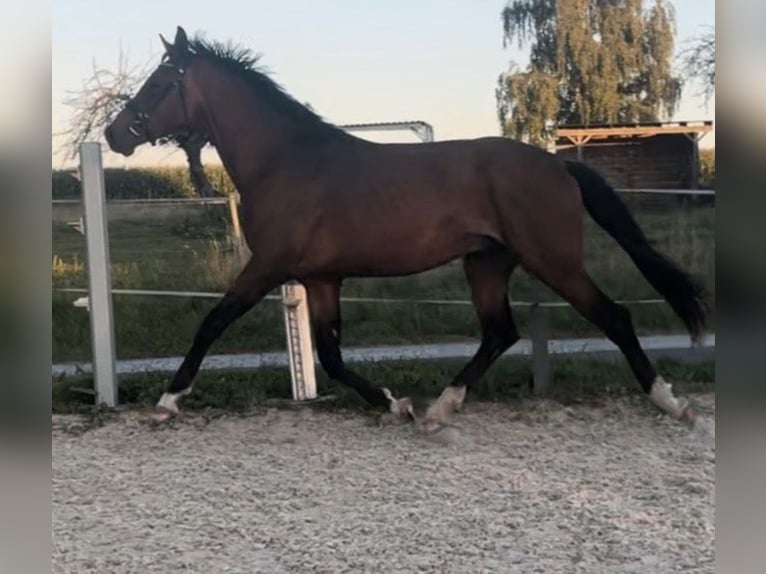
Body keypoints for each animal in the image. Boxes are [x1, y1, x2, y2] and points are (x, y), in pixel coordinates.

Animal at [105, 26, 707, 430]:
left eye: (158, 83)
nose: (115, 134)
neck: (284, 159)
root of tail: (559, 166)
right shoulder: (321, 278)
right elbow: (330, 356)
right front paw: (396, 403)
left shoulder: (268, 266)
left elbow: (212, 322)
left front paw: (168, 401)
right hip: (487, 262)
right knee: (500, 332)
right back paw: (440, 407)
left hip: (552, 260)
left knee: (613, 317)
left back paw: (671, 402)